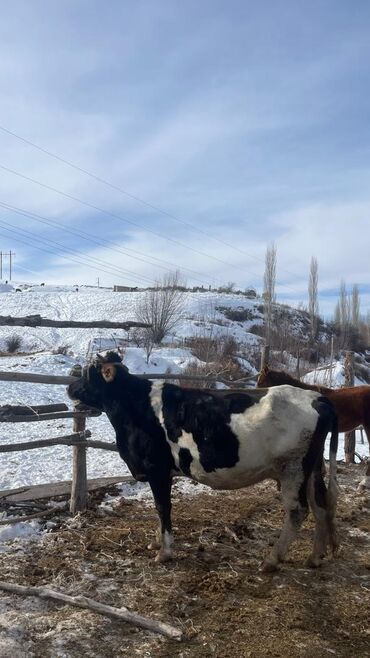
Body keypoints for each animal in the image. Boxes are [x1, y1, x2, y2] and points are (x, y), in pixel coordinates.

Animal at [68, 348, 340, 568]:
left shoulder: (157, 470)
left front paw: (164, 551)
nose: (69, 387)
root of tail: (317, 398)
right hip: (311, 468)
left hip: (293, 468)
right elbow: (159, 509)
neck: (133, 407)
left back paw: (272, 560)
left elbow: (162, 507)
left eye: (88, 373)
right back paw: (315, 557)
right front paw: (156, 542)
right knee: (320, 504)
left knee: (297, 511)